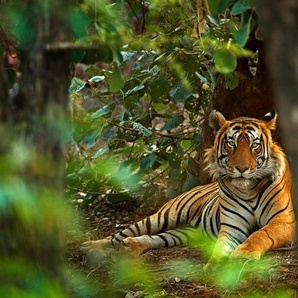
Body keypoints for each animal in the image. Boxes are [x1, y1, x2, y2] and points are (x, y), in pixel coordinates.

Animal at [82, 110, 296, 266]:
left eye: (254, 146)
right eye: (231, 144)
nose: (242, 169)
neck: (248, 189)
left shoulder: (284, 220)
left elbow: (259, 234)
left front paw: (243, 254)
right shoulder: (232, 226)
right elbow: (221, 246)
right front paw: (215, 265)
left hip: (185, 232)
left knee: (157, 238)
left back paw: (130, 246)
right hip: (163, 217)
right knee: (119, 235)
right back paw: (90, 246)